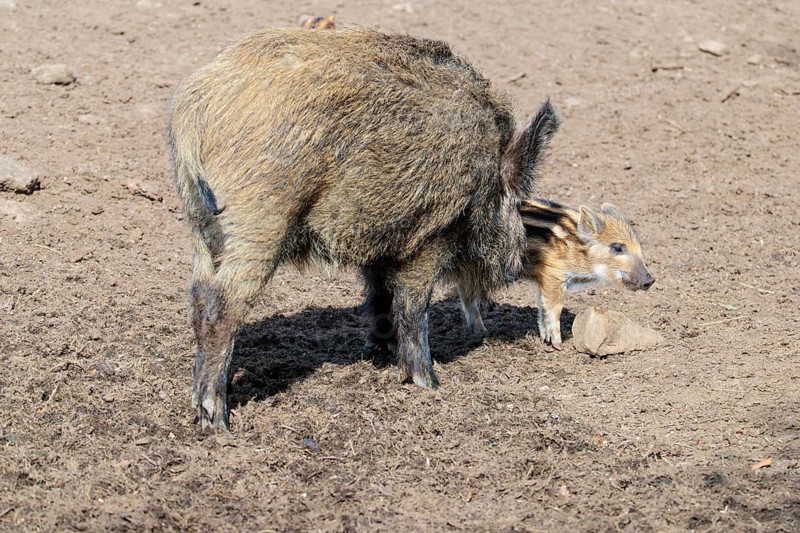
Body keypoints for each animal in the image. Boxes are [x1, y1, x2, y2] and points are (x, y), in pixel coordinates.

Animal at [167, 26, 561, 431]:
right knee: (220, 305)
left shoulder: (381, 240)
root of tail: (194, 109)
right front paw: (430, 384)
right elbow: (413, 306)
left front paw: (379, 354)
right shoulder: (433, 234)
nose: (514, 268)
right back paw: (217, 420)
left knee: (198, 295)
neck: (485, 176)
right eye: (518, 202)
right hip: (260, 219)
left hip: (201, 224)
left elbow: (380, 295)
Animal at [460, 199, 655, 349]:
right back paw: (481, 329)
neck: (577, 249)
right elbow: (554, 308)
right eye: (617, 248)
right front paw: (557, 345)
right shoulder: (552, 275)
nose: (650, 280)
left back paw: (479, 329)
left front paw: (545, 340)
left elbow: (541, 307)